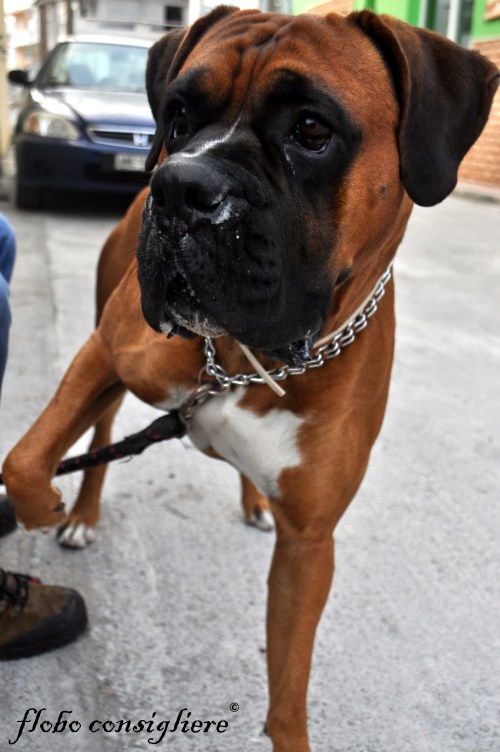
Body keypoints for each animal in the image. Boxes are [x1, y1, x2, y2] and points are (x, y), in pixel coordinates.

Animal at [3, 7, 498, 750]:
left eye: (312, 131)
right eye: (178, 115)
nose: (178, 186)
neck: (250, 359)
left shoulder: (308, 548)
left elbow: (289, 689)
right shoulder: (102, 354)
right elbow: (27, 458)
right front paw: (43, 510)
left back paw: (252, 499)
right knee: (99, 441)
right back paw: (83, 516)